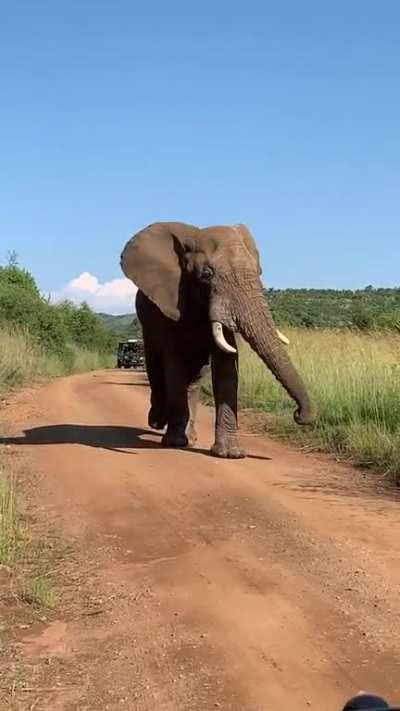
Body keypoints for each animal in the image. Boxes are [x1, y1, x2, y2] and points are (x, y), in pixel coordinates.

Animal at [120, 221, 313, 458]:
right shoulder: (170, 304)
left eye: (259, 272)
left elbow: (227, 366)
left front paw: (231, 453)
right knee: (156, 367)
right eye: (206, 274)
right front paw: (174, 442)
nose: (298, 415)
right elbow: (174, 365)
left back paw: (190, 437)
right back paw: (158, 422)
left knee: (194, 380)